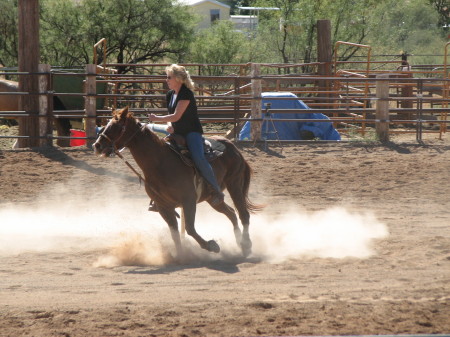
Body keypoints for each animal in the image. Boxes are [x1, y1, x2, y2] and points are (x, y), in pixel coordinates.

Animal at [93, 106, 262, 256]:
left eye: (116, 127)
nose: (97, 145)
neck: (160, 163)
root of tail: (234, 147)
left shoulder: (188, 201)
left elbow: (190, 228)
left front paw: (211, 245)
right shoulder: (163, 206)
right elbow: (174, 232)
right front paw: (182, 256)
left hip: (235, 184)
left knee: (243, 214)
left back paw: (246, 245)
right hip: (211, 198)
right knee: (231, 213)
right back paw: (239, 242)